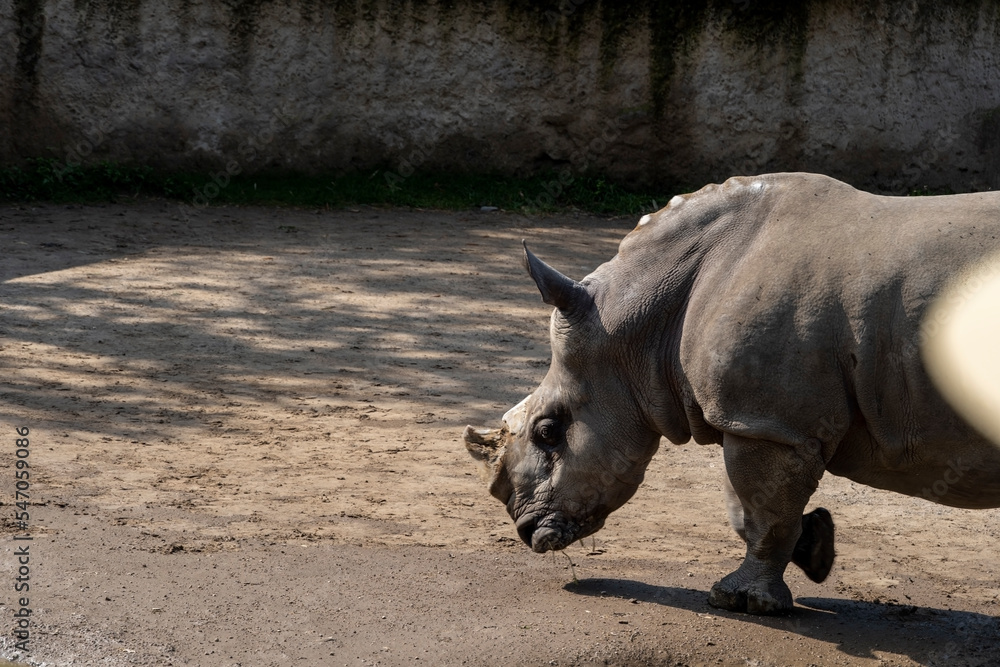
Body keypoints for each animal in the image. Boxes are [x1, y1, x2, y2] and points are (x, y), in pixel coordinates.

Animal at [464, 172, 1000, 615]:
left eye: (548, 432)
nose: (527, 532)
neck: (636, 328)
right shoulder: (757, 420)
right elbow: (748, 505)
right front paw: (816, 547)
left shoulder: (770, 423)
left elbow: (764, 510)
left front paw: (742, 601)